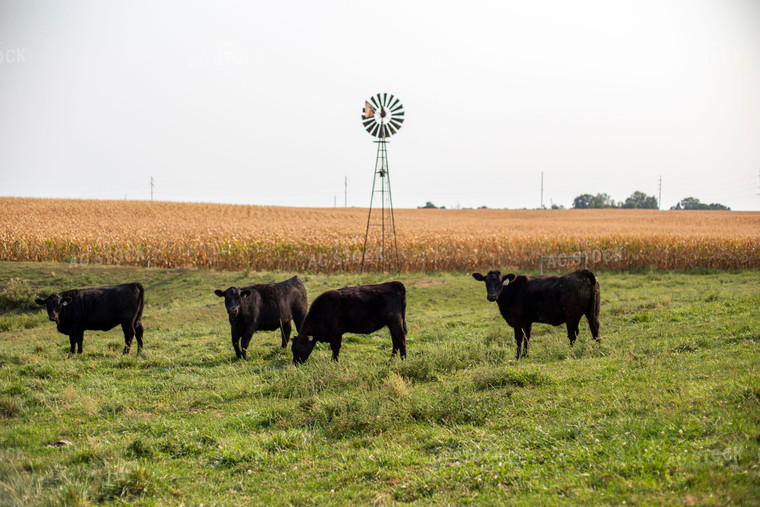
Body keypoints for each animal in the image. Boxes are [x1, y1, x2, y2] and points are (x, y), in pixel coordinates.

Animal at [470, 270, 600, 362]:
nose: (491, 296)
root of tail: (581, 272)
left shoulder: (517, 318)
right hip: (592, 312)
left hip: (572, 315)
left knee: (573, 334)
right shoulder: (528, 320)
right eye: (486, 282)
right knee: (594, 328)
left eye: (499, 282)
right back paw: (598, 349)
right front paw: (525, 355)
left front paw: (517, 356)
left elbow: (519, 337)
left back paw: (570, 351)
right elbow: (527, 336)